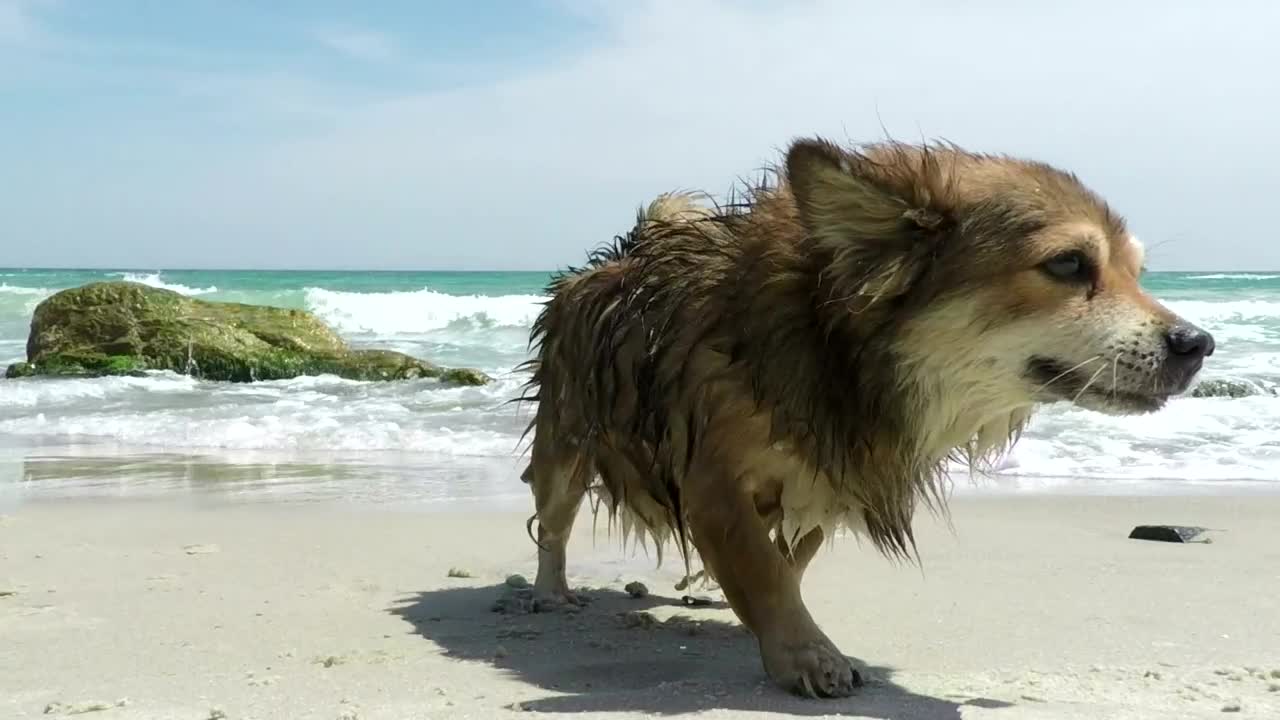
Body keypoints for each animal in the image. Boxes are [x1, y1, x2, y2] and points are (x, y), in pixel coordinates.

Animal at [506, 135, 1208, 696]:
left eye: (1137, 272)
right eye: (1067, 264)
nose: (1198, 344)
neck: (836, 347)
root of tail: (605, 262)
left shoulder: (832, 477)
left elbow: (785, 565)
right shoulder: (714, 484)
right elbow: (764, 570)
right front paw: (807, 655)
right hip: (564, 448)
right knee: (554, 525)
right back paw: (550, 592)